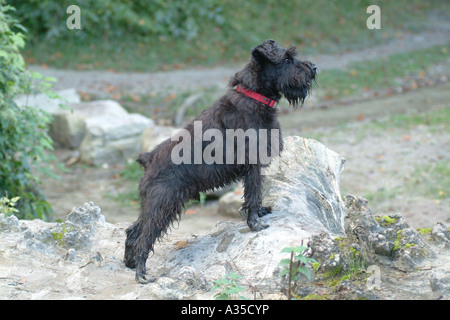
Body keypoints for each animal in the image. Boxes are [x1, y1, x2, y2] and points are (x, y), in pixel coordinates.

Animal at [124, 40, 316, 282]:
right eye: (287, 59)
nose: (314, 68)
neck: (254, 95)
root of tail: (148, 158)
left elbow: (254, 194)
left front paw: (259, 213)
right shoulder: (254, 164)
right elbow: (254, 194)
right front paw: (255, 223)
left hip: (154, 203)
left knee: (134, 230)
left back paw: (130, 263)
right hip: (163, 203)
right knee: (145, 235)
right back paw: (141, 272)